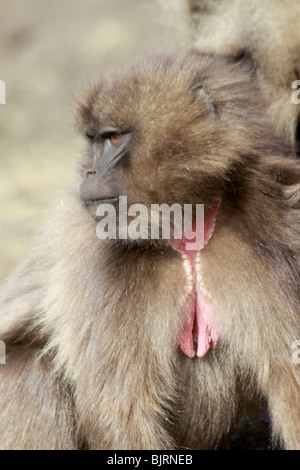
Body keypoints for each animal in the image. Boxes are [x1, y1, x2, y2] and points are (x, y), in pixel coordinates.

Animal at [0, 50, 300, 448]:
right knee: (31, 374)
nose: (89, 174)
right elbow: (120, 411)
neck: (185, 231)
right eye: (94, 140)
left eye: (113, 137)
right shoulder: (100, 262)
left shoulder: (277, 232)